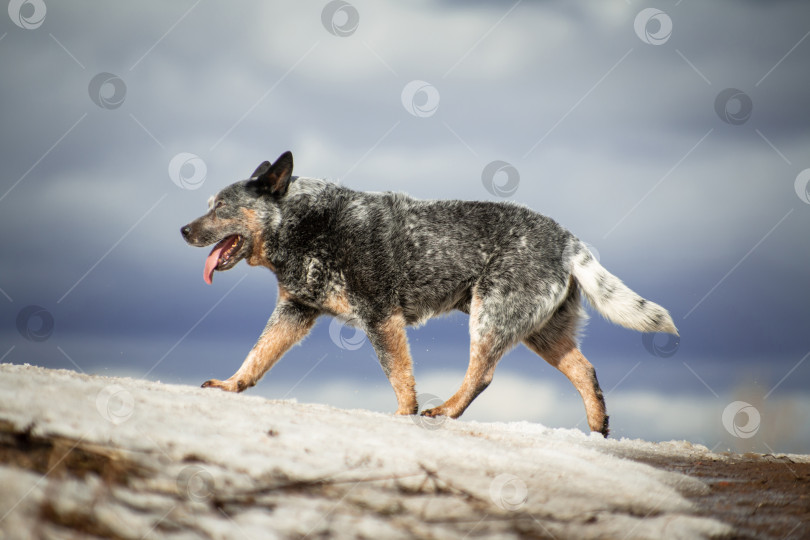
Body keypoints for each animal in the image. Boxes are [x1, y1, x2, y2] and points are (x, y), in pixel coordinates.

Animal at [181, 150, 676, 436]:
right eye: (208, 206)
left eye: (220, 207)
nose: (183, 230)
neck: (306, 223)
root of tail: (569, 240)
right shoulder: (295, 311)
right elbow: (257, 354)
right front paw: (231, 385)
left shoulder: (380, 316)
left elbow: (400, 376)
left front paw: (404, 414)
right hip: (542, 333)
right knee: (585, 370)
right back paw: (598, 427)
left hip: (490, 314)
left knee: (482, 374)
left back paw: (446, 411)